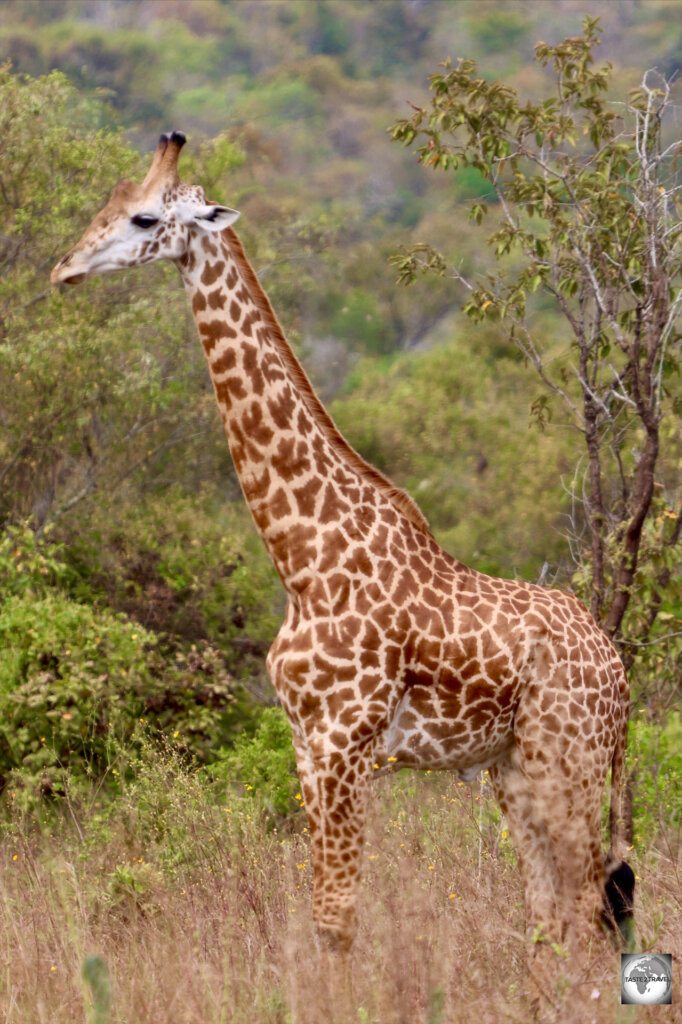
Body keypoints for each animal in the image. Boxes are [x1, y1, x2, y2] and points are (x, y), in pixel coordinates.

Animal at [53, 130, 630, 983]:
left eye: (143, 217)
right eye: (109, 202)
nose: (63, 269)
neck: (302, 556)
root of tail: (618, 669)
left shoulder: (341, 747)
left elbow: (335, 920)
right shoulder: (305, 745)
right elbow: (329, 914)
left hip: (569, 761)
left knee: (588, 905)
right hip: (515, 768)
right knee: (554, 912)